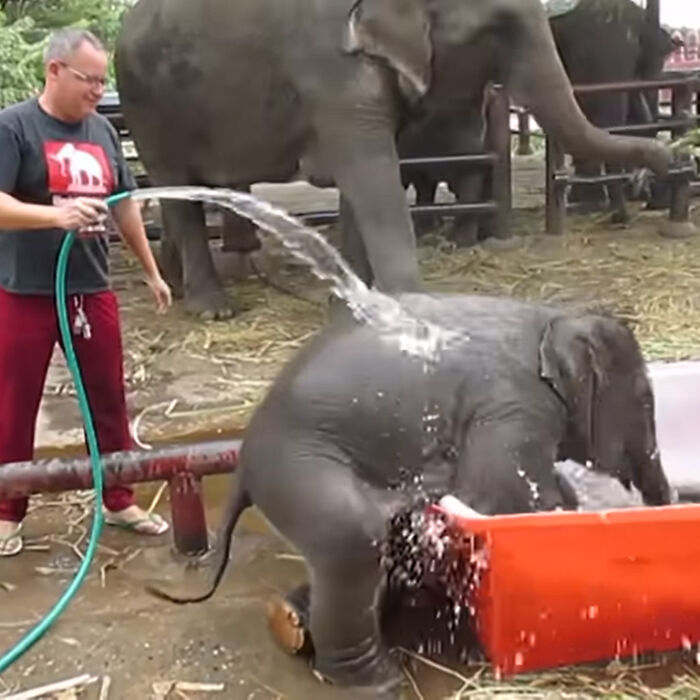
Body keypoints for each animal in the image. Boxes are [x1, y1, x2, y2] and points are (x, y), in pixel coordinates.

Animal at [115, 0, 672, 318]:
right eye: (500, 26)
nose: (668, 161)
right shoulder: (330, 68)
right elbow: (372, 177)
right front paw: (412, 312)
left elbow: (361, 186)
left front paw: (353, 306)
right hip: (145, 102)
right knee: (175, 185)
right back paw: (212, 310)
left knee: (179, 190)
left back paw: (175, 288)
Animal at [150, 292, 668, 696]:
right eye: (645, 400)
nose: (660, 503)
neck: (555, 316)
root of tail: (243, 464)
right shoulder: (514, 405)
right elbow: (498, 494)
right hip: (299, 469)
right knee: (353, 537)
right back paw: (380, 681)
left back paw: (290, 622)